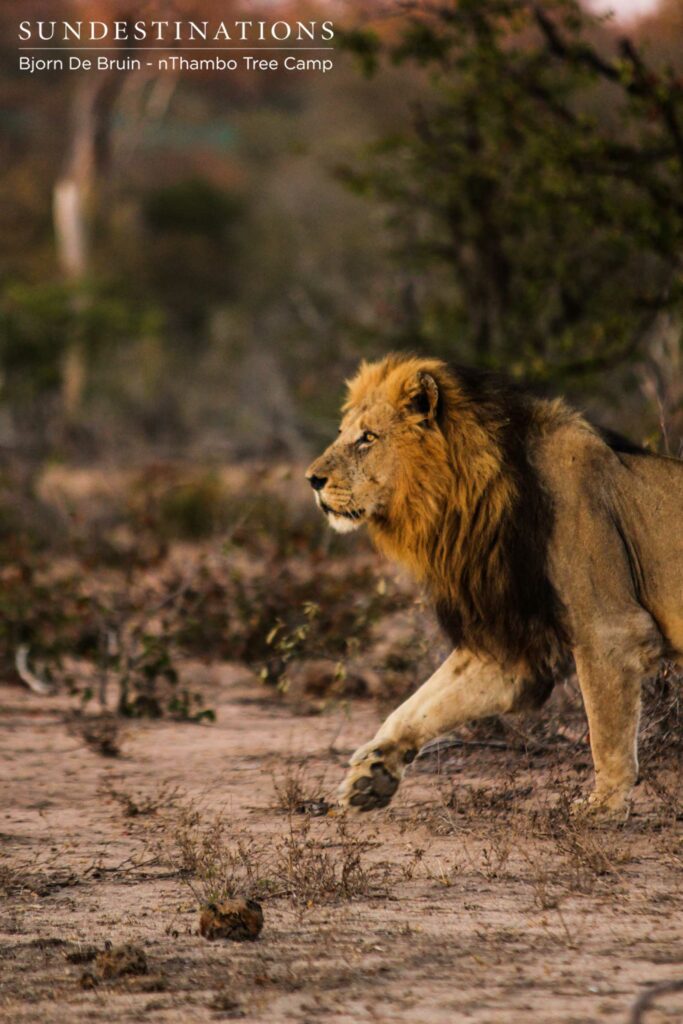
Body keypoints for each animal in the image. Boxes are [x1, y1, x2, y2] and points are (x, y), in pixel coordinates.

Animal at [305, 354, 683, 817]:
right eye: (343, 433)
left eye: (367, 438)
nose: (311, 480)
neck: (470, 502)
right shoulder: (512, 644)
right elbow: (421, 703)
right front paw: (374, 772)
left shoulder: (610, 628)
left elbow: (605, 728)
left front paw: (601, 806)